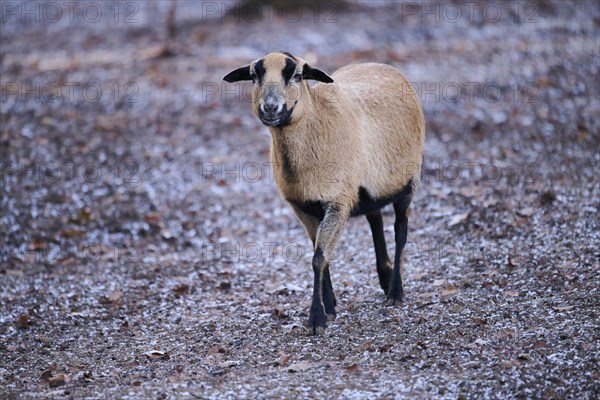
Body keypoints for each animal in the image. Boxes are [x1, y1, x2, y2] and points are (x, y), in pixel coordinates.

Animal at [225, 52, 426, 334]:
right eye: (254, 76)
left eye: (297, 75)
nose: (270, 108)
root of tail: (382, 65)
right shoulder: (303, 206)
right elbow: (319, 254)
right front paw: (329, 306)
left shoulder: (337, 202)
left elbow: (318, 258)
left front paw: (317, 318)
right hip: (365, 189)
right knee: (375, 218)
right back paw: (385, 277)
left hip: (410, 180)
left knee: (400, 231)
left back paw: (395, 291)